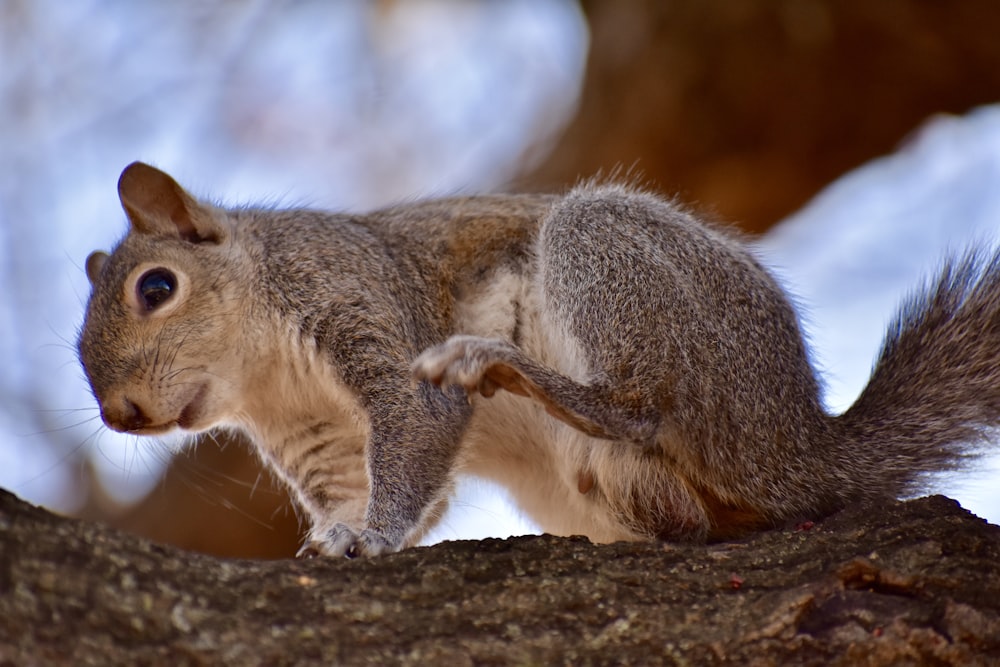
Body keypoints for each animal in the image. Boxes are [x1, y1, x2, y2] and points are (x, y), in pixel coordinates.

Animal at [80, 162, 1000, 560]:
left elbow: (419, 436)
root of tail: (805, 445)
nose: (122, 414)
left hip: (609, 259)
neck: (267, 372)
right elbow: (357, 488)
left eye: (156, 287)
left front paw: (373, 537)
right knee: (688, 519)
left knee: (639, 406)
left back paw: (504, 365)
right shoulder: (318, 439)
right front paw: (341, 533)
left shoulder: (363, 300)